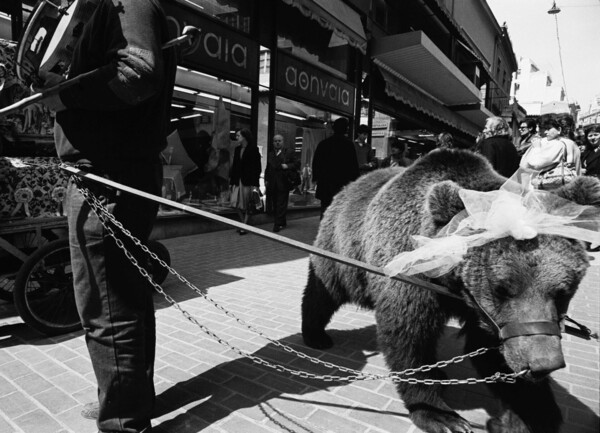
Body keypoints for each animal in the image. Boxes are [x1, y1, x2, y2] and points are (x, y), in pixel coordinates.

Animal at [302, 148, 596, 432]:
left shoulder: (485, 314)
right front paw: (443, 417)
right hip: (342, 250)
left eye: (563, 291)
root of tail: (351, 184)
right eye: (502, 288)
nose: (544, 363)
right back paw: (316, 335)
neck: (452, 286)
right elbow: (408, 335)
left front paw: (534, 413)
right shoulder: (415, 278)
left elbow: (491, 349)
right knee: (323, 290)